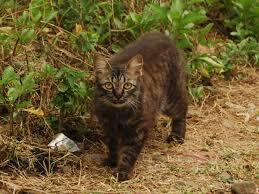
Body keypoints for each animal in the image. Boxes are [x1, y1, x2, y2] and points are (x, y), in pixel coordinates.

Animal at [93, 31, 189, 181]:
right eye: (108, 85)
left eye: (127, 85)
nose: (118, 95)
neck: (117, 115)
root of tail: (162, 35)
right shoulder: (108, 128)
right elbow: (112, 147)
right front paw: (112, 161)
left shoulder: (137, 132)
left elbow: (128, 154)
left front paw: (122, 172)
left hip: (172, 98)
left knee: (182, 111)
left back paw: (177, 136)